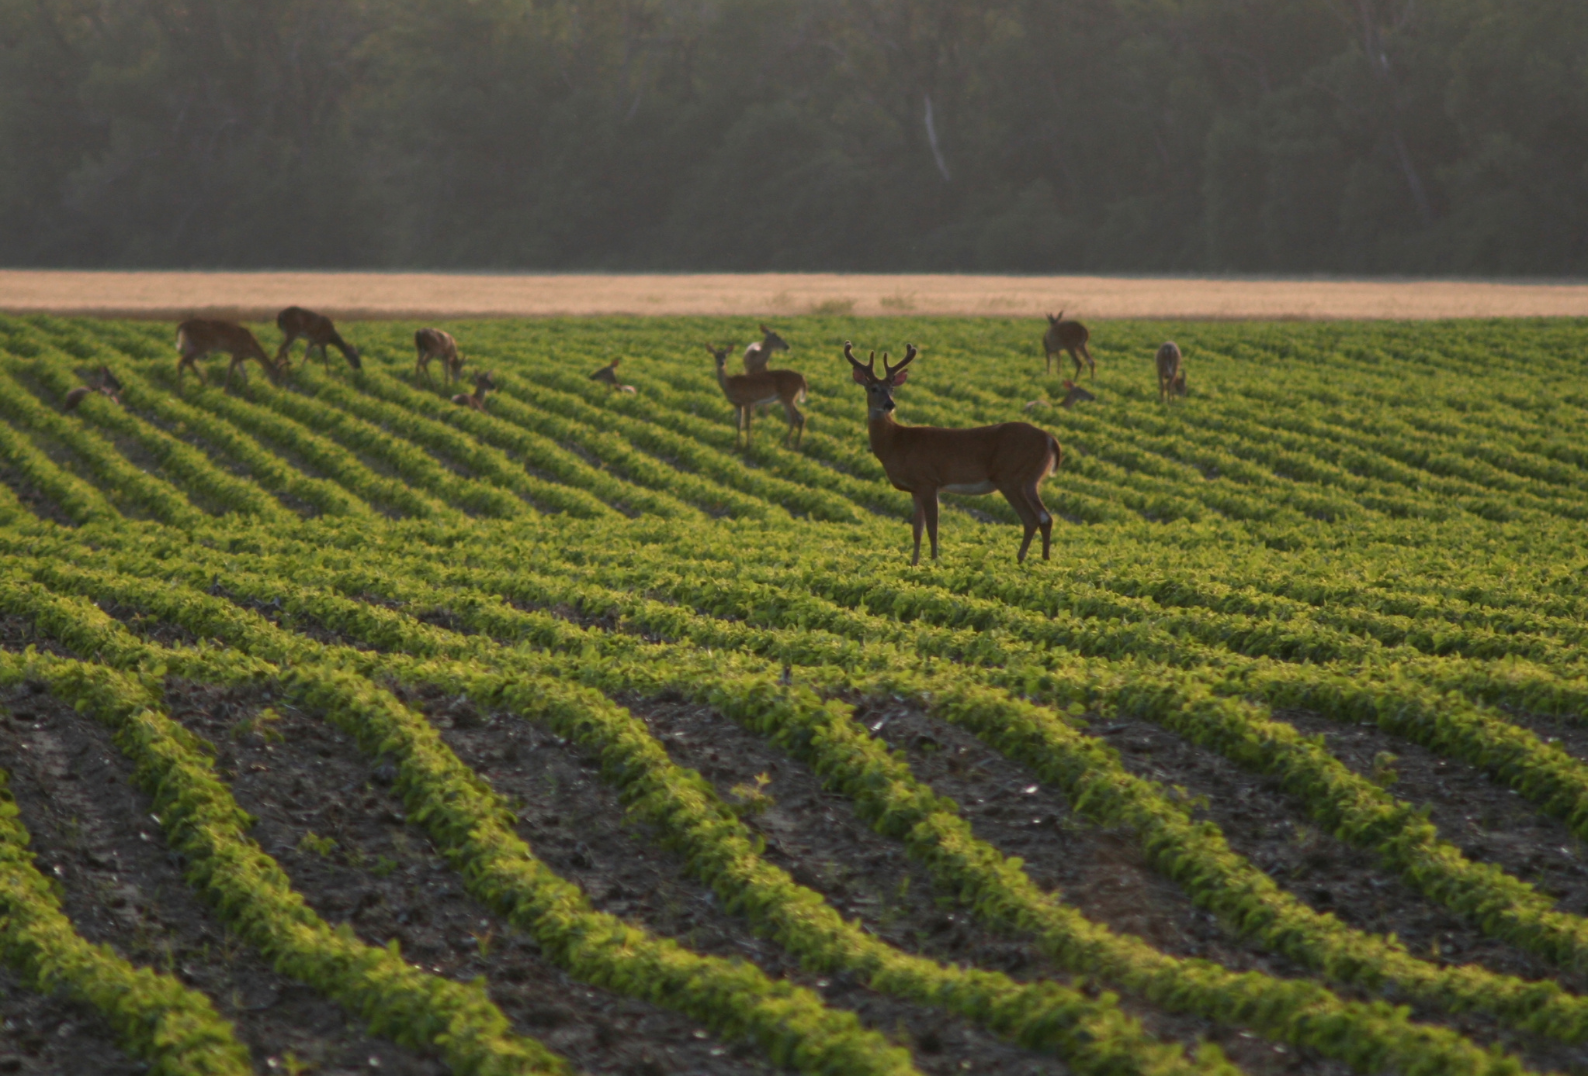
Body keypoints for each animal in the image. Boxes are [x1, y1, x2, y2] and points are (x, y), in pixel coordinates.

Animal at [846, 342, 1061, 565]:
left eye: (892, 389)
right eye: (874, 388)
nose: (890, 405)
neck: (896, 442)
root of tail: (1050, 439)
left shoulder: (928, 481)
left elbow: (933, 529)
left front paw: (934, 562)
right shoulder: (915, 489)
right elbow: (917, 531)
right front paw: (914, 564)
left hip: (1010, 476)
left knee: (1031, 518)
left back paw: (1020, 560)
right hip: (1031, 479)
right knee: (1046, 517)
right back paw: (1044, 560)